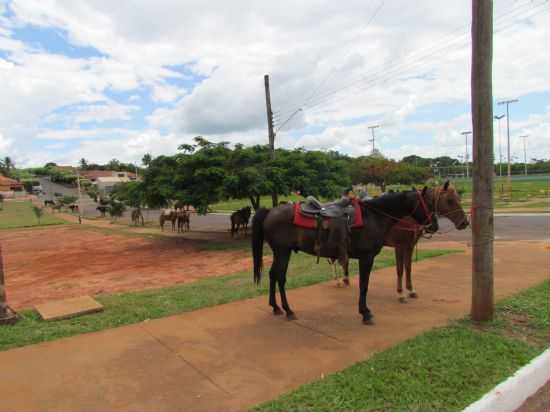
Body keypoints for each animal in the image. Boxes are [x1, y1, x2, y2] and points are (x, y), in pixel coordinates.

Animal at [253, 187, 440, 326]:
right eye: (428, 203)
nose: (434, 225)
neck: (374, 216)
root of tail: (270, 211)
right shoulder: (367, 257)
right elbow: (364, 286)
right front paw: (365, 313)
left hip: (279, 252)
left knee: (272, 275)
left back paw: (276, 307)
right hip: (283, 251)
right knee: (280, 277)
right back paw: (288, 310)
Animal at [332, 180, 470, 300]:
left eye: (459, 199)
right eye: (450, 201)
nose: (464, 222)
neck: (406, 217)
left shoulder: (410, 246)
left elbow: (408, 268)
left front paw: (411, 290)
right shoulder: (399, 247)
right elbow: (400, 269)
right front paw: (400, 293)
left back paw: (345, 279)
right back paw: (338, 281)